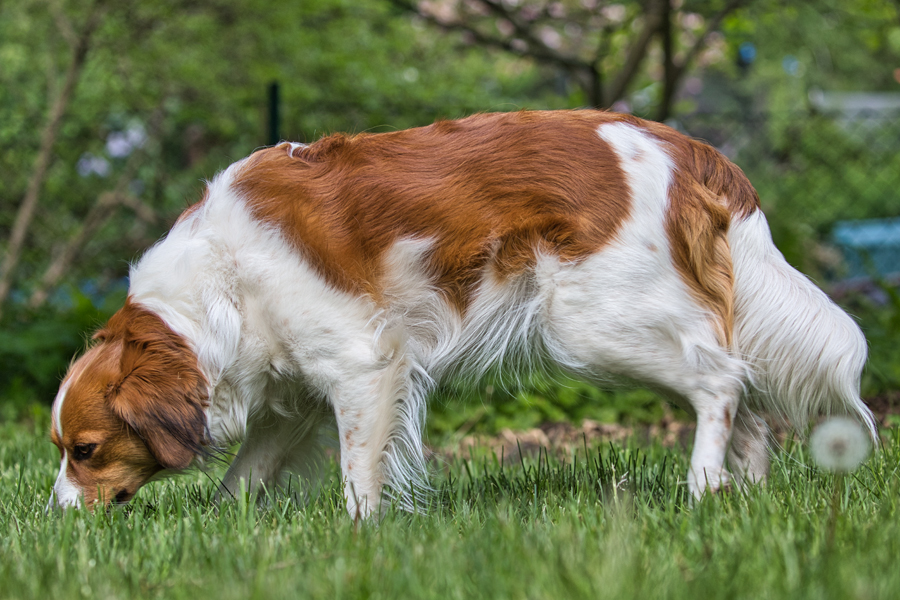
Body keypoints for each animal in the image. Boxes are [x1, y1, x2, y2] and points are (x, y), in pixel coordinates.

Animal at [47, 110, 872, 512]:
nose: (56, 514)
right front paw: (224, 527)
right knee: (749, 393)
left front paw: (359, 533)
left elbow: (357, 472)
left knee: (722, 382)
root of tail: (692, 149)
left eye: (84, 450)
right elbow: (246, 477)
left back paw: (702, 490)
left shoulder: (365, 365)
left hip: (591, 325)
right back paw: (744, 495)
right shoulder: (296, 391)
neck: (221, 282)